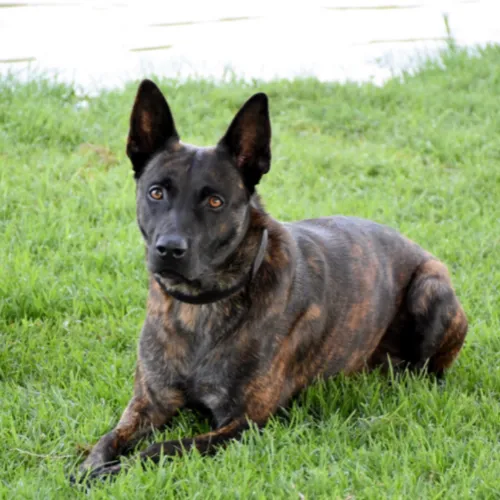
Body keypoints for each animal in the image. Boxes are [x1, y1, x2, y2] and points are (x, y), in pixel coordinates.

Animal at [75, 81, 468, 480]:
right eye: (156, 192)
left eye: (215, 202)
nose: (169, 249)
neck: (199, 309)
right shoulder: (148, 403)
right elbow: (108, 439)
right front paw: (88, 467)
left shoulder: (243, 423)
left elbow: (162, 448)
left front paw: (116, 471)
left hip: (430, 289)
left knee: (427, 371)